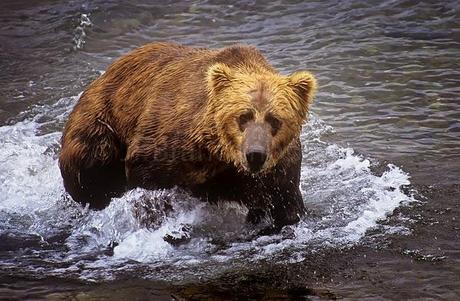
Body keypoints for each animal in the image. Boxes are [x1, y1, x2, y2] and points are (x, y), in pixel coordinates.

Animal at [59, 42, 318, 229]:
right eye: (243, 117)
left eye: (274, 119)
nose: (255, 154)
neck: (219, 154)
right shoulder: (169, 142)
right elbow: (148, 180)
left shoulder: (278, 168)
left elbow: (284, 202)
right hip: (99, 124)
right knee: (89, 170)